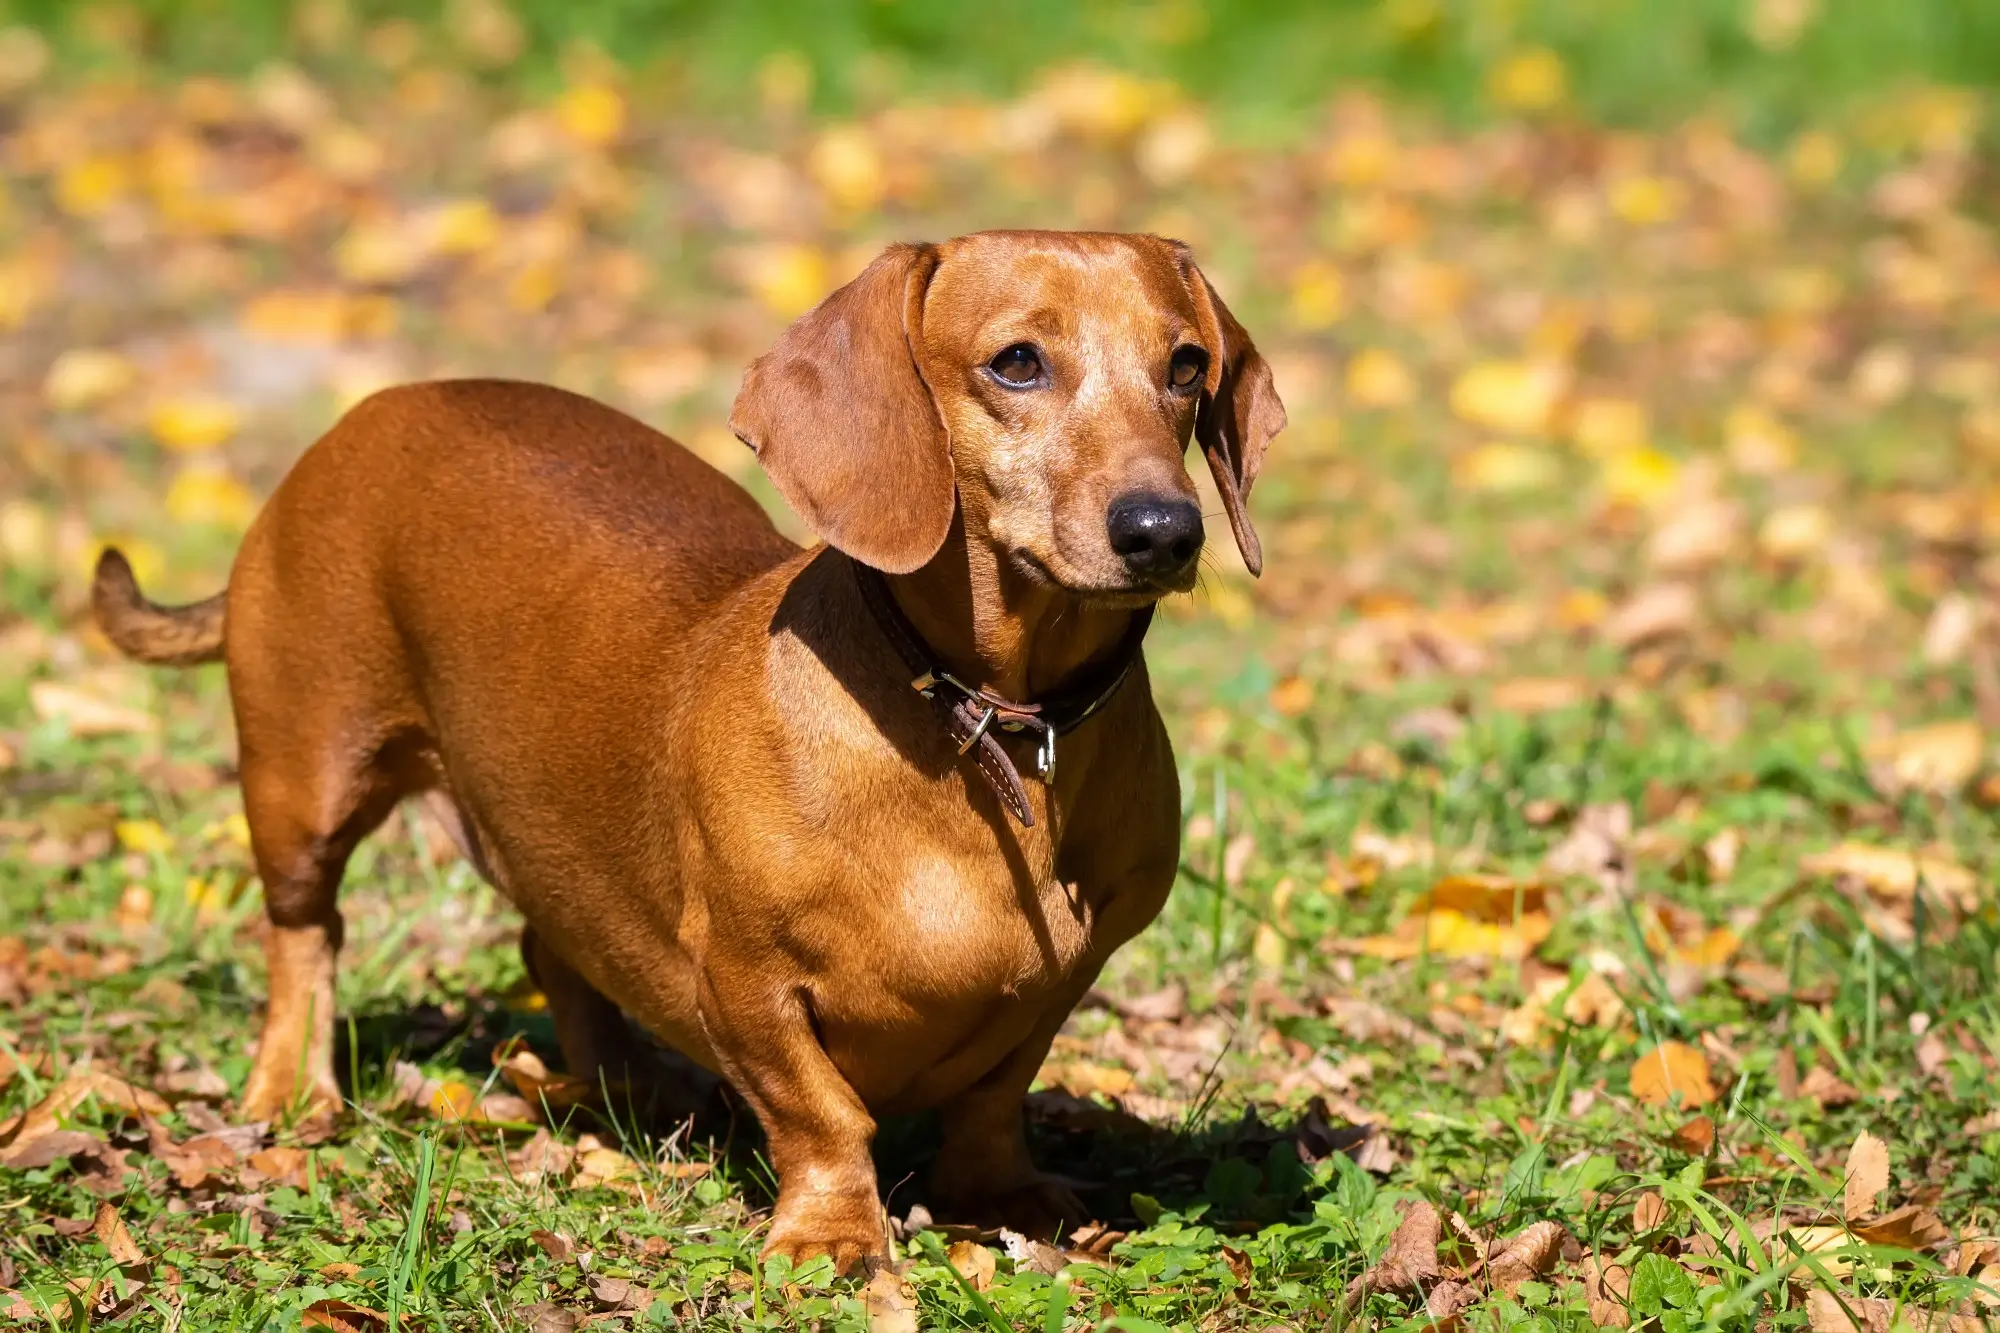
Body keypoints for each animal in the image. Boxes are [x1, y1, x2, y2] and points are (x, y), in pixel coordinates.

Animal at [94, 228, 1280, 1264]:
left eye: (1185, 365)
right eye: (1018, 362)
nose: (1164, 531)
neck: (982, 719)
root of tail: (369, 414)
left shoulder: (1060, 981)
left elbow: (994, 1095)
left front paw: (1004, 1195)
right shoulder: (745, 981)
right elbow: (822, 1112)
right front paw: (832, 1235)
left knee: (552, 951)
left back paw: (624, 1087)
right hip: (305, 783)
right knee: (307, 937)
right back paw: (295, 1094)